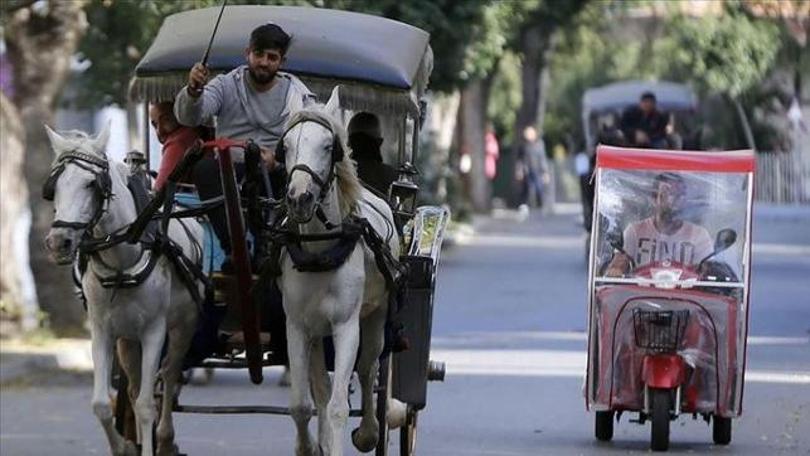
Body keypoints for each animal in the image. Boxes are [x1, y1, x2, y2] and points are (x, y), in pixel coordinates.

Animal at [42, 123, 204, 454]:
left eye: (92, 184)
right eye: (54, 186)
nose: (58, 242)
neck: (122, 261)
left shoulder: (154, 330)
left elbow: (146, 404)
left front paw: (149, 444)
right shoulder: (103, 330)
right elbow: (103, 403)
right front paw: (126, 446)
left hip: (183, 326)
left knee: (169, 374)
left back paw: (164, 438)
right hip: (128, 340)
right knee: (134, 386)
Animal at [278, 90, 400, 456]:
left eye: (328, 146)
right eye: (285, 145)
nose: (299, 198)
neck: (320, 248)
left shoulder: (346, 325)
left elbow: (337, 407)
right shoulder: (297, 326)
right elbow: (302, 404)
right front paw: (309, 448)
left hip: (377, 316)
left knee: (368, 367)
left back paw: (369, 432)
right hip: (317, 332)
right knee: (320, 387)